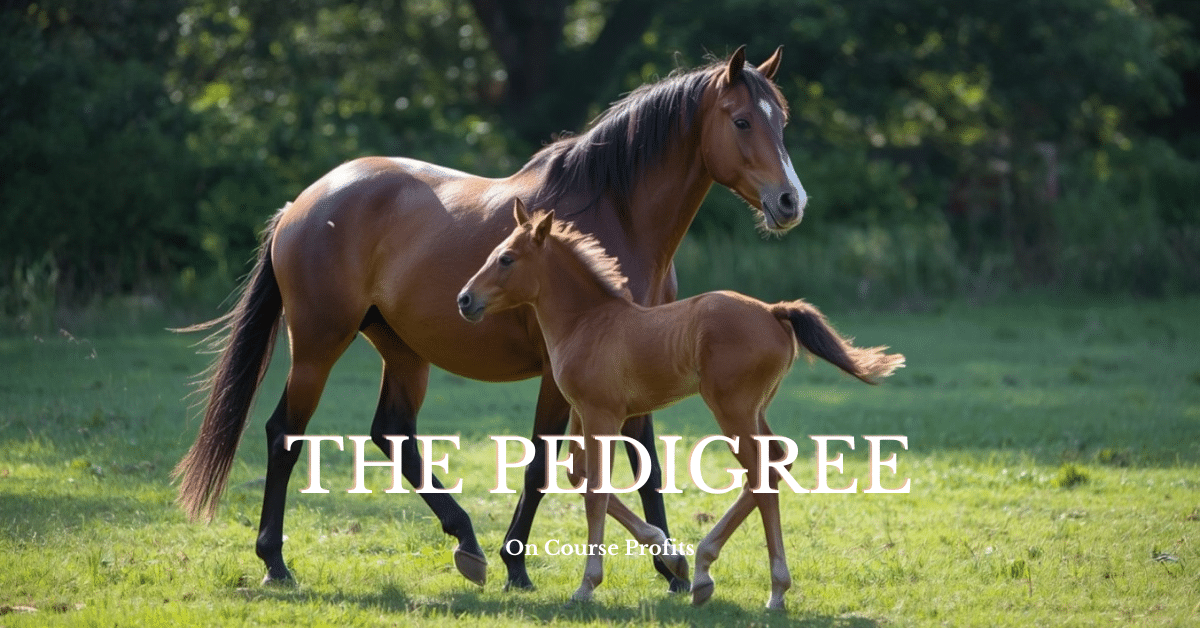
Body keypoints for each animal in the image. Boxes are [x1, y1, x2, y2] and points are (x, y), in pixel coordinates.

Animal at [173, 45, 807, 592]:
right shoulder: (562, 376)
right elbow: (541, 464)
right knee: (285, 434)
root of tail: (301, 205)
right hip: (317, 345)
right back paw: (275, 562)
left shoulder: (636, 367)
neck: (612, 214)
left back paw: (466, 543)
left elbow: (645, 467)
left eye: (782, 122)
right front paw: (519, 566)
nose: (790, 202)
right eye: (742, 121)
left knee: (393, 433)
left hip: (403, 350)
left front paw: (671, 567)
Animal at [457, 201, 904, 608]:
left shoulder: (604, 415)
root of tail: (774, 311)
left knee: (762, 473)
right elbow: (579, 476)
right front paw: (671, 558)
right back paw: (706, 569)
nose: (464, 299)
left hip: (732, 409)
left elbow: (597, 490)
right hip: (755, 410)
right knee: (778, 461)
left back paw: (770, 588)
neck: (587, 321)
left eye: (507, 258)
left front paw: (587, 586)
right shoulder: (586, 413)